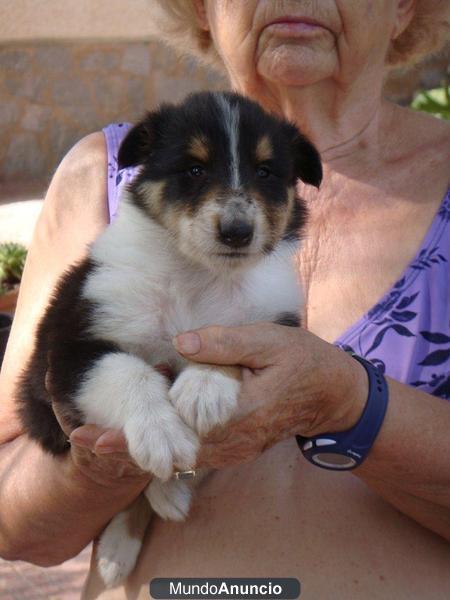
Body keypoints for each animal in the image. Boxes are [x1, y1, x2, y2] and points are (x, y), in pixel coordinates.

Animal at [16, 91, 320, 588]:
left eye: (265, 172)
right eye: (193, 169)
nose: (237, 232)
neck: (198, 274)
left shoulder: (275, 324)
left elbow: (229, 335)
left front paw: (204, 388)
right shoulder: (71, 349)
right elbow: (128, 372)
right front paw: (161, 433)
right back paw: (126, 540)